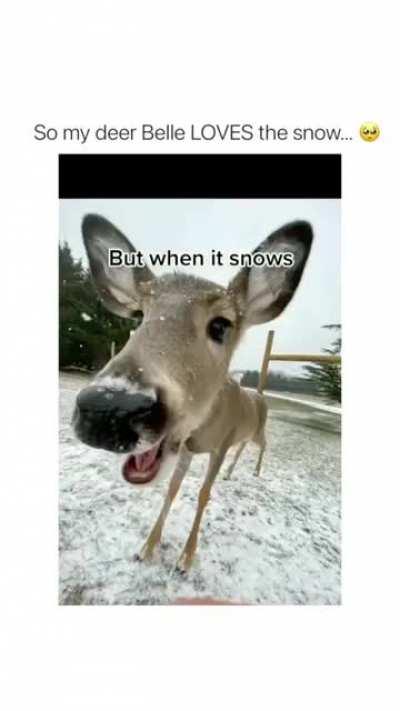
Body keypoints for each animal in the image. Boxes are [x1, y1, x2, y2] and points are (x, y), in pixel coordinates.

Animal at [73, 214, 313, 571]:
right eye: (139, 315)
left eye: (221, 325)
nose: (110, 407)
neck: (205, 428)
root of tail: (258, 395)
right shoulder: (186, 446)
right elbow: (172, 488)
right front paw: (147, 547)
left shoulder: (222, 443)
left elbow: (203, 494)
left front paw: (186, 558)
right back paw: (233, 474)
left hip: (255, 431)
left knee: (263, 444)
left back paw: (254, 471)